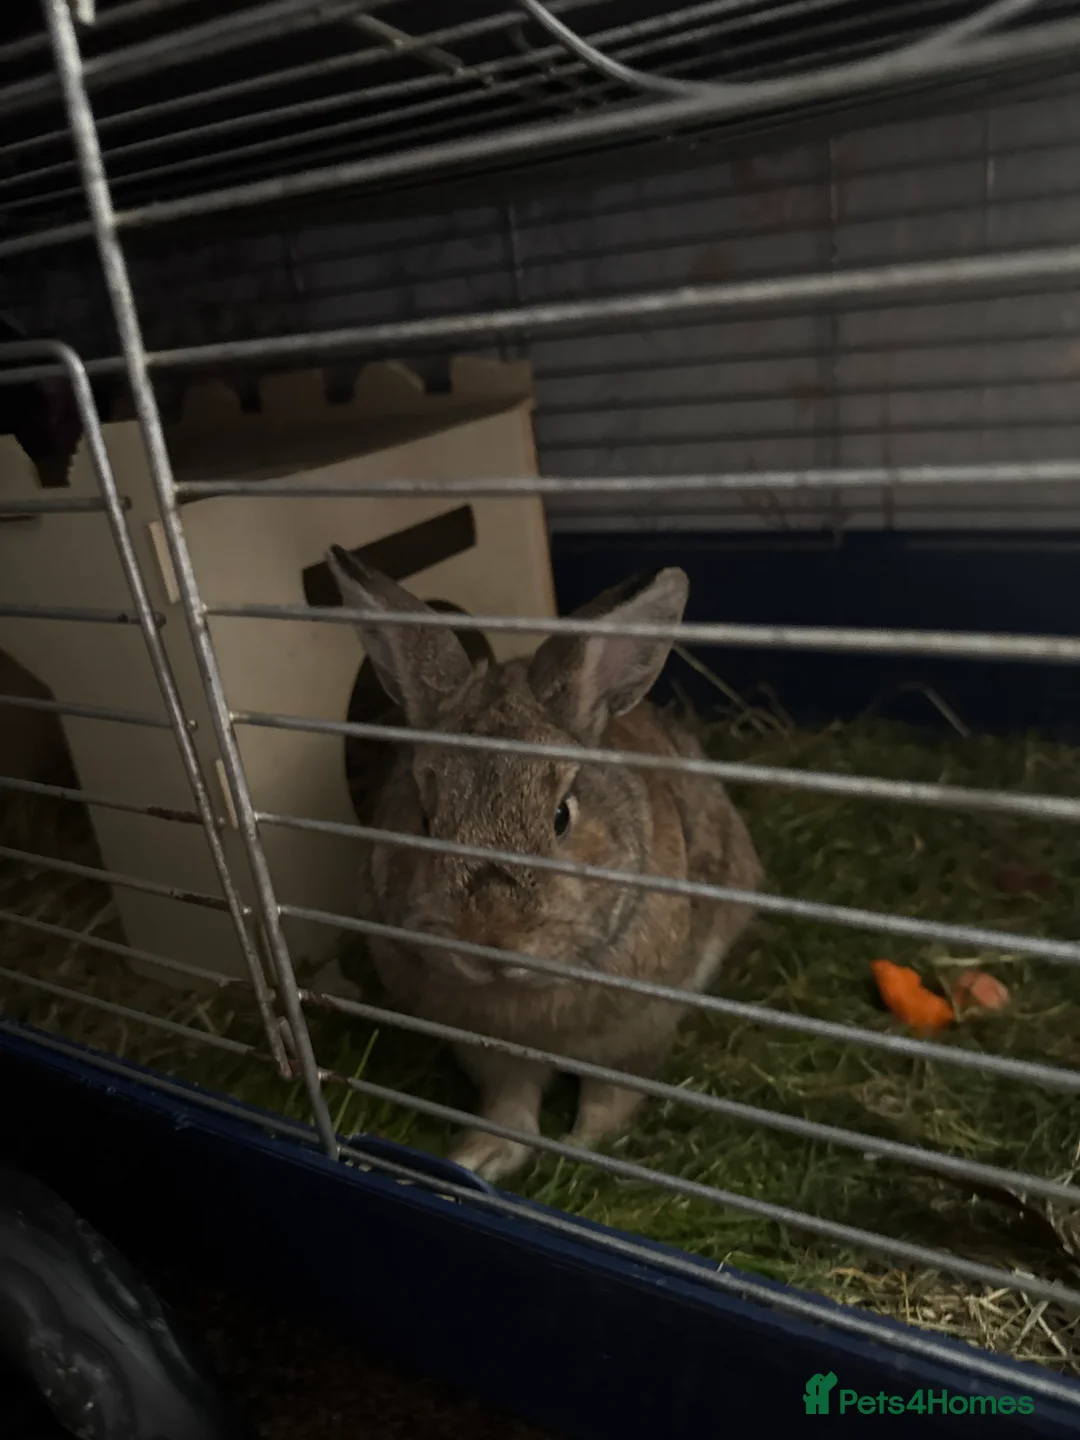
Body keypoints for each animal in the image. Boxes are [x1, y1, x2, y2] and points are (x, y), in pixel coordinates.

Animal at [326, 545, 763, 1184]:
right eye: (426, 818)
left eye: (561, 815)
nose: (492, 940)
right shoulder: (489, 1051)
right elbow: (511, 1109)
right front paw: (478, 1158)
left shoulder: (635, 1035)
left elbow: (608, 1103)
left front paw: (581, 1152)